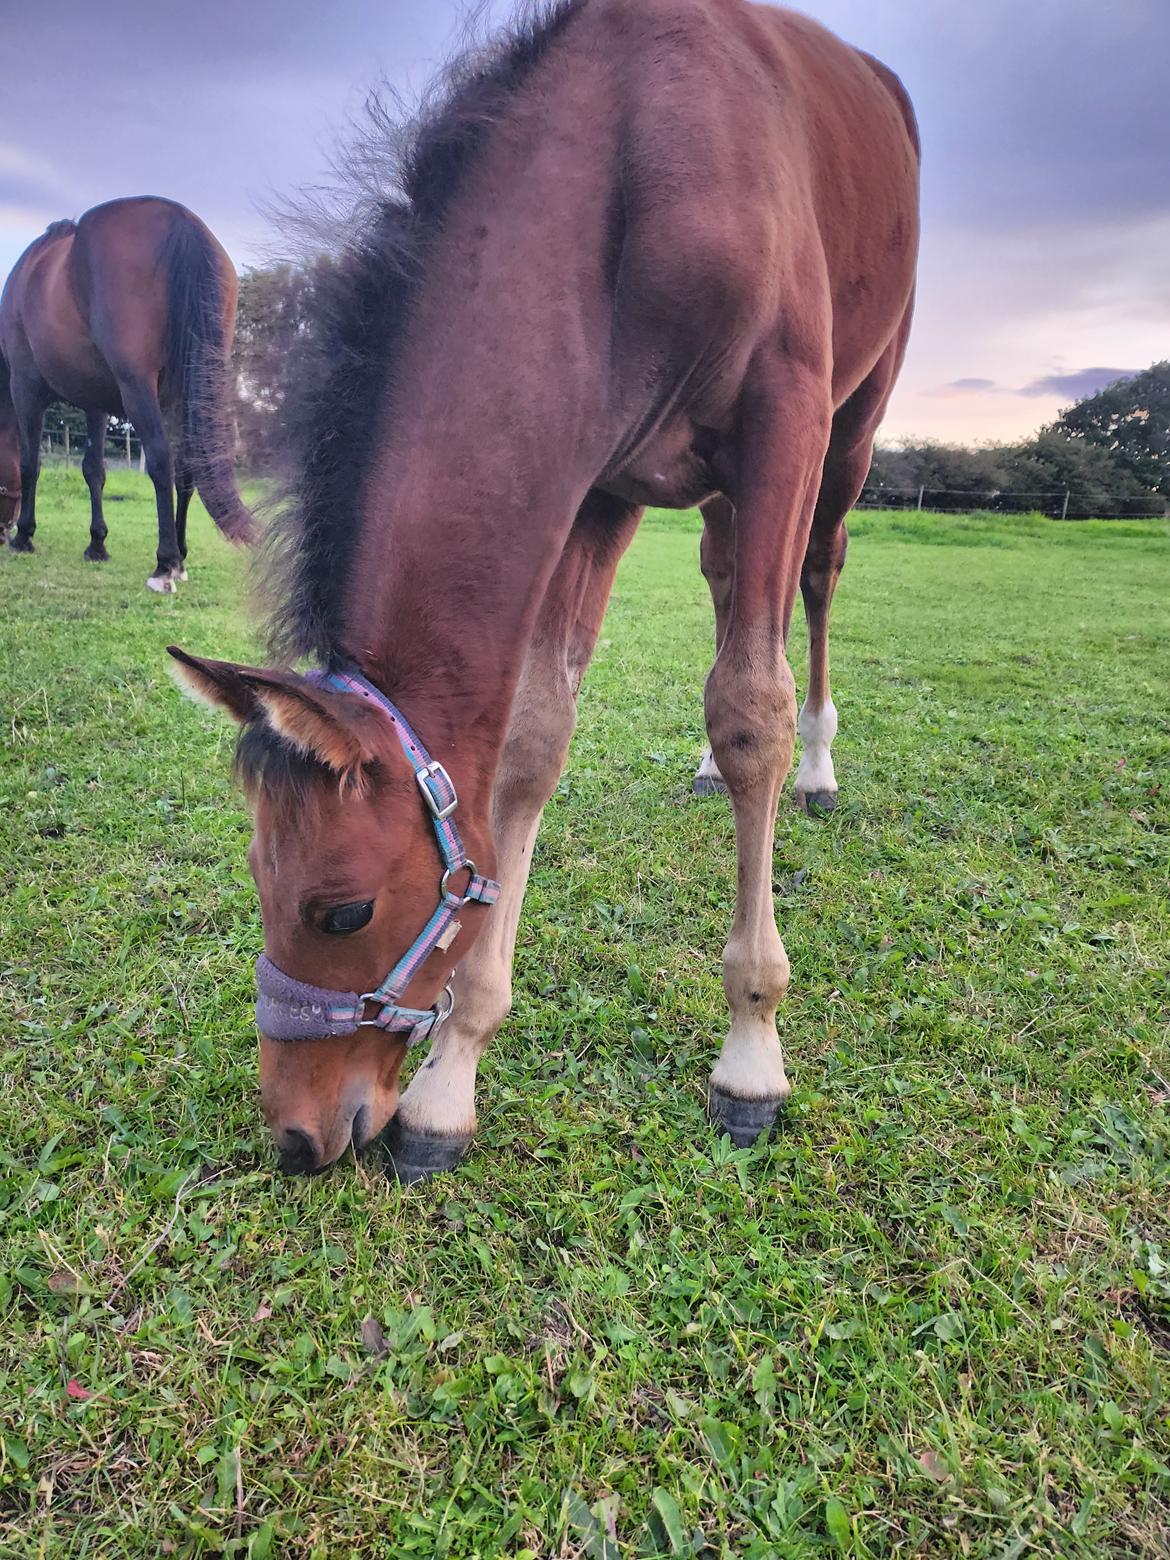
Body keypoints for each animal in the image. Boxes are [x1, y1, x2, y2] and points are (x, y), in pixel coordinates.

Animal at [0, 195, 254, 586]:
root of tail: (183, 221)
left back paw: (166, 563)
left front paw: (25, 536)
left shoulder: (25, 388)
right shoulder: (95, 403)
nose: (3, 532)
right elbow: (94, 469)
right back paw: (181, 554)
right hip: (185, 394)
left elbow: (31, 463)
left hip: (138, 388)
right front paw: (97, 544)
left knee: (162, 460)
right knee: (185, 468)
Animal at [169, 0, 923, 1173]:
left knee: (815, 581)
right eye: (256, 875)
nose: (296, 1135)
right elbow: (532, 737)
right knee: (723, 578)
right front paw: (451, 1081)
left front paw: (751, 1047)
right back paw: (708, 769)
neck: (636, 160)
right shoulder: (596, 482)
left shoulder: (782, 422)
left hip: (848, 429)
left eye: (344, 913)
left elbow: (751, 706)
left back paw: (818, 764)